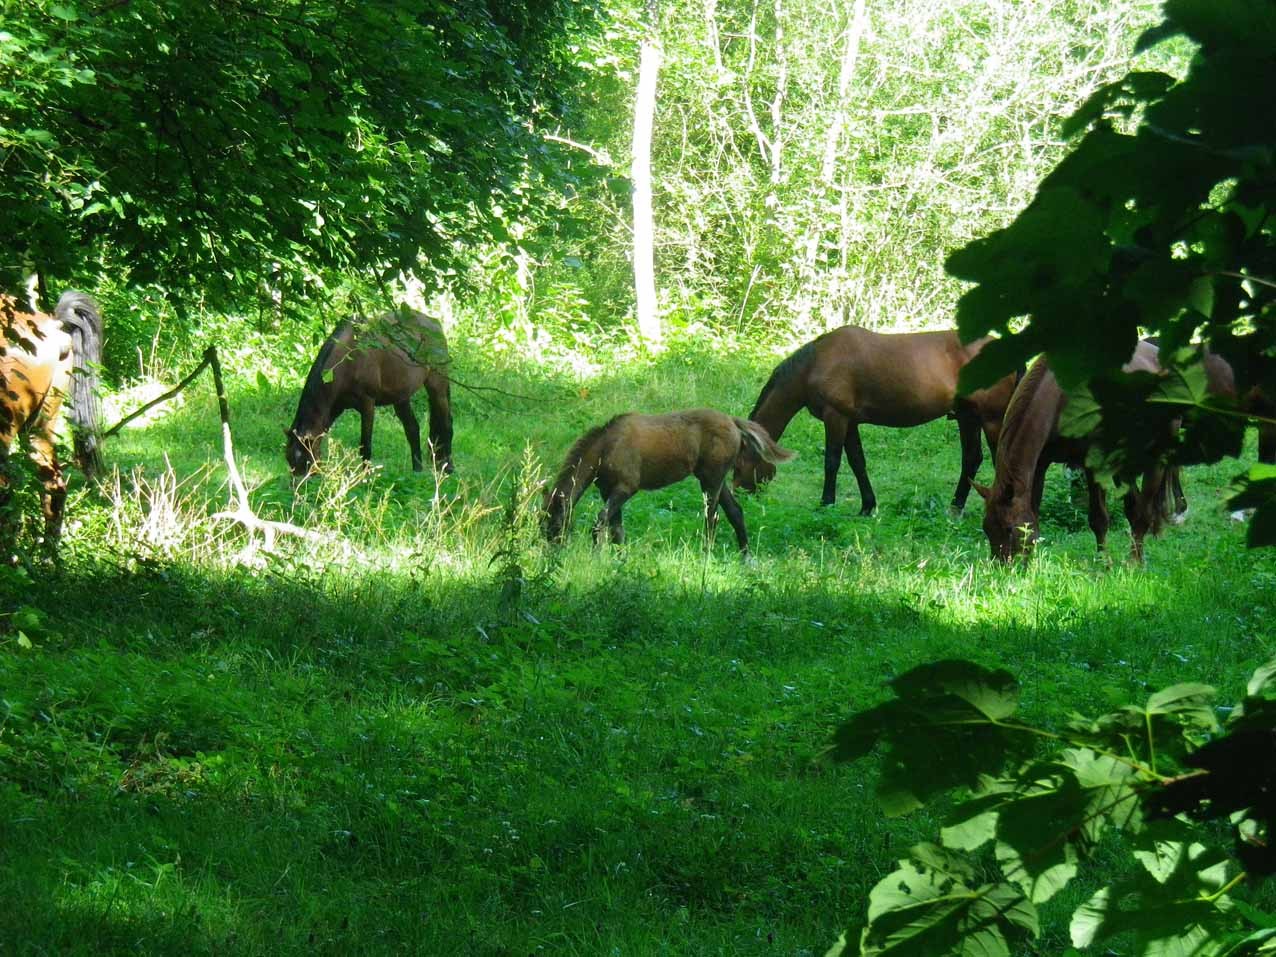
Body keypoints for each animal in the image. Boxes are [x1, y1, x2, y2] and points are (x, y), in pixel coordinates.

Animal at [288, 307, 454, 479]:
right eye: (289, 460)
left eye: (306, 461)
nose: (298, 485)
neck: (348, 357)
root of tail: (434, 322)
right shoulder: (335, 407)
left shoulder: (367, 404)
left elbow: (365, 445)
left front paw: (365, 478)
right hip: (401, 398)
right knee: (413, 429)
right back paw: (417, 471)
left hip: (437, 387)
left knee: (446, 423)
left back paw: (448, 467)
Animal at [543, 405, 791, 553]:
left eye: (555, 523)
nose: (552, 551)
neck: (605, 450)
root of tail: (734, 422)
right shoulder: (608, 491)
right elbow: (617, 530)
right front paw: (619, 559)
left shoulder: (626, 487)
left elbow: (600, 521)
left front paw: (597, 555)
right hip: (712, 479)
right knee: (735, 512)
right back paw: (745, 556)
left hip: (712, 481)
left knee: (712, 517)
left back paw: (707, 553)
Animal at [734, 326, 1010, 512]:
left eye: (738, 463)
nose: (739, 494)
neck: (815, 364)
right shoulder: (850, 422)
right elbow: (857, 462)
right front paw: (868, 506)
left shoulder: (835, 417)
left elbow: (832, 461)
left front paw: (826, 503)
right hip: (967, 416)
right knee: (971, 459)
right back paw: (955, 508)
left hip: (991, 418)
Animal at [974, 344, 1173, 566]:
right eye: (986, 529)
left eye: (1009, 529)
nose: (1000, 567)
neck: (1060, 399)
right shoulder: (1041, 464)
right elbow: (1034, 514)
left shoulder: (1093, 465)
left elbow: (1098, 519)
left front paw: (1104, 564)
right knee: (1134, 507)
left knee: (1144, 512)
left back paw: (1134, 563)